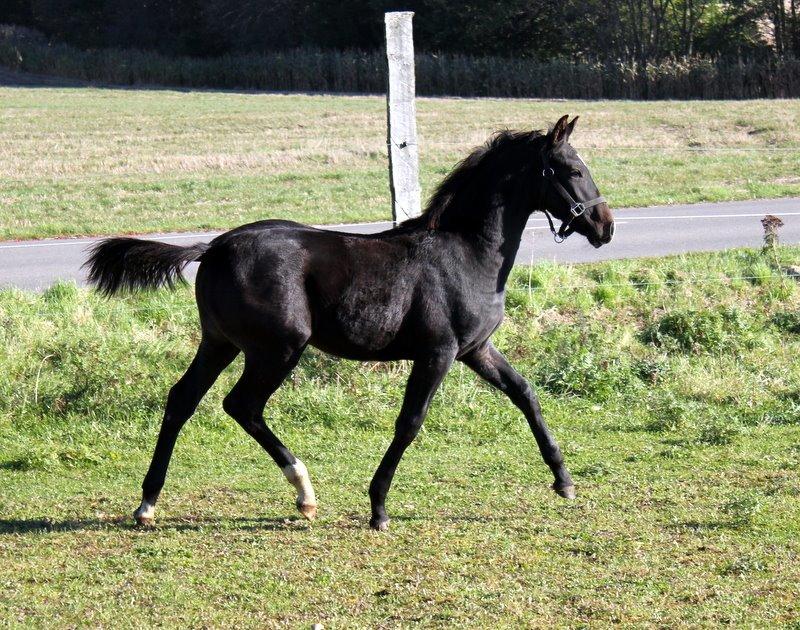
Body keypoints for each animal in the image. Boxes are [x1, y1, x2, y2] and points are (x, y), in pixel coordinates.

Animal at [86, 116, 612, 532]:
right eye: (573, 170)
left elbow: (525, 393)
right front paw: (378, 508)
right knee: (242, 405)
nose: (605, 225)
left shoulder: (475, 350)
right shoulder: (438, 353)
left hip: (219, 342)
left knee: (183, 399)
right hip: (279, 348)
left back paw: (148, 503)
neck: (466, 253)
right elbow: (410, 421)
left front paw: (563, 480)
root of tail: (213, 246)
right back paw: (304, 493)